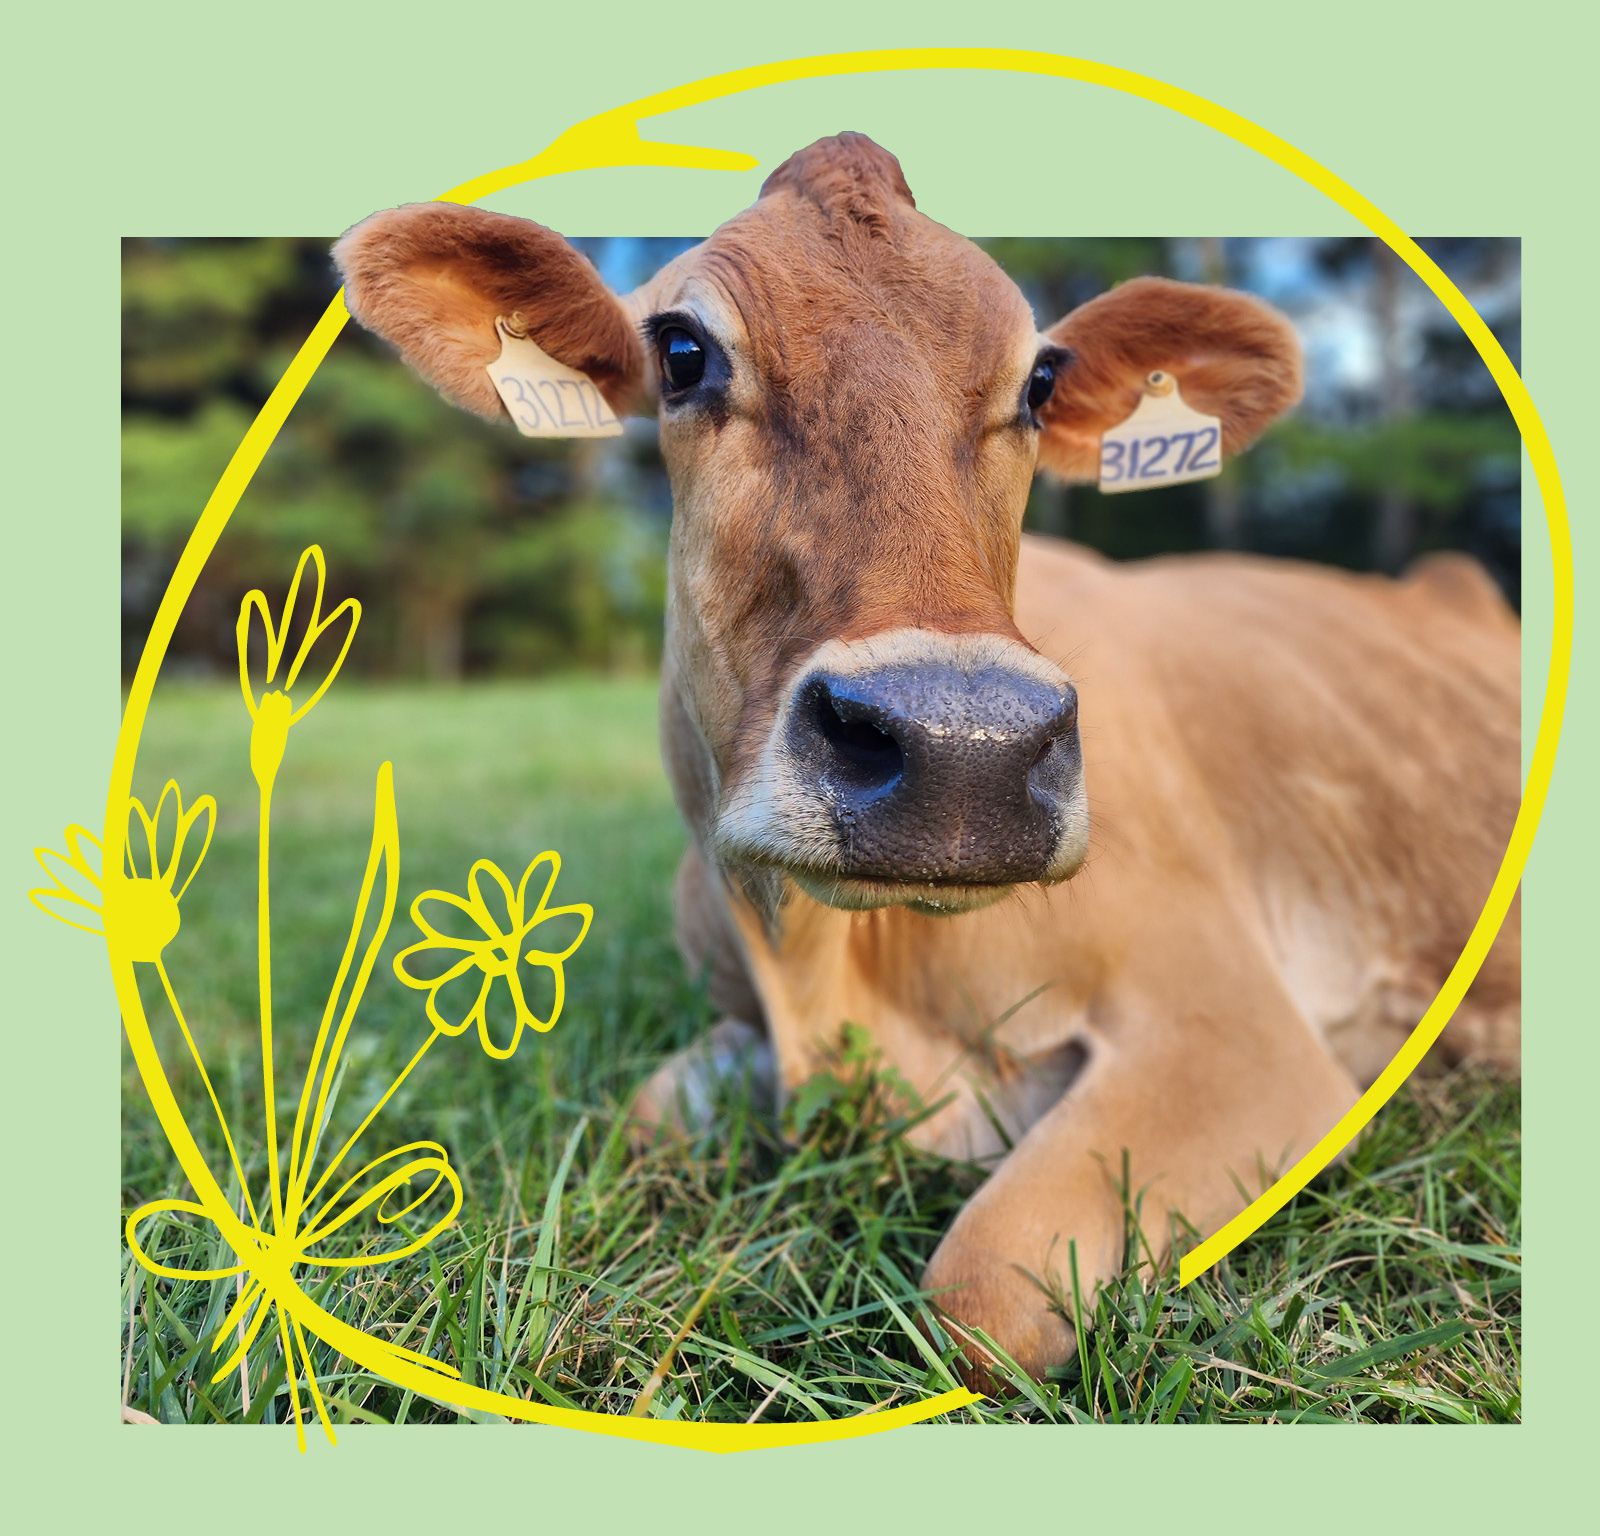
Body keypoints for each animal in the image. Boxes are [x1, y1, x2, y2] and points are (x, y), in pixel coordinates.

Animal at [334, 133, 1520, 1390]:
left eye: (1039, 383)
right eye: (683, 351)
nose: (963, 752)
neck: (824, 974)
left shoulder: (1235, 1032)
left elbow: (981, 1293)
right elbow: (640, 1126)